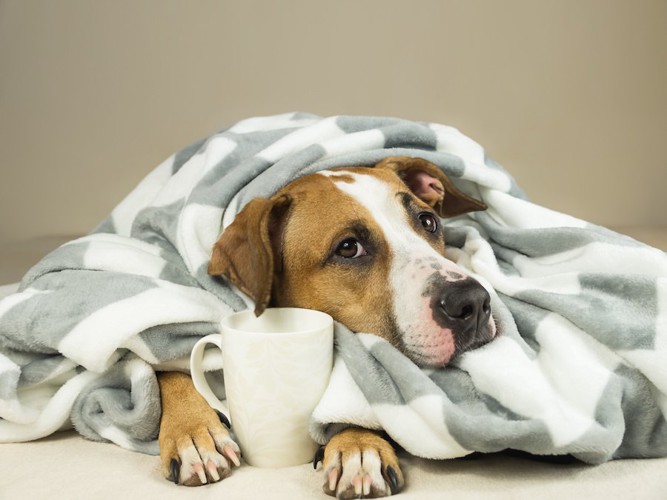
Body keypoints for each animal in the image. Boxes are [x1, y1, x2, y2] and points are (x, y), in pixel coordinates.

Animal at [157, 155, 498, 496]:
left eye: (428, 222)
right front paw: (193, 431)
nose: (472, 302)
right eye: (348, 247)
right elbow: (167, 370)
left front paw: (358, 443)